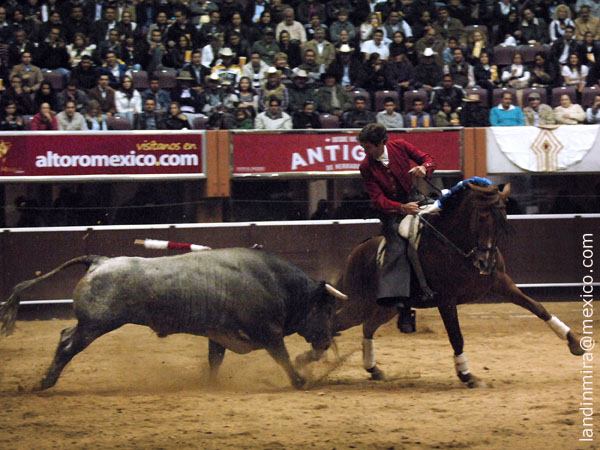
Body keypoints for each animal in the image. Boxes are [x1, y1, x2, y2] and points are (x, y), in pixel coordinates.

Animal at [0, 248, 348, 390]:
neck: (276, 282)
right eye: (326, 309)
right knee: (68, 344)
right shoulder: (269, 333)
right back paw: (45, 382)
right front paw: (300, 381)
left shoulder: (218, 335)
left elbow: (214, 361)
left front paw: (210, 385)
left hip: (91, 324)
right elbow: (283, 358)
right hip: (95, 326)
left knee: (64, 335)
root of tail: (100, 261)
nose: (326, 341)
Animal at [297, 182, 584, 387]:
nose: (486, 262)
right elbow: (456, 336)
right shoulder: (446, 299)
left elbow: (537, 307)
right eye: (481, 219)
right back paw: (303, 364)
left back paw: (372, 368)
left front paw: (574, 341)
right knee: (334, 324)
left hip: (383, 308)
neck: (457, 245)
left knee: (366, 327)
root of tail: (356, 253)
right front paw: (467, 375)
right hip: (360, 303)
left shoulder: (499, 282)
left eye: (503, 219)